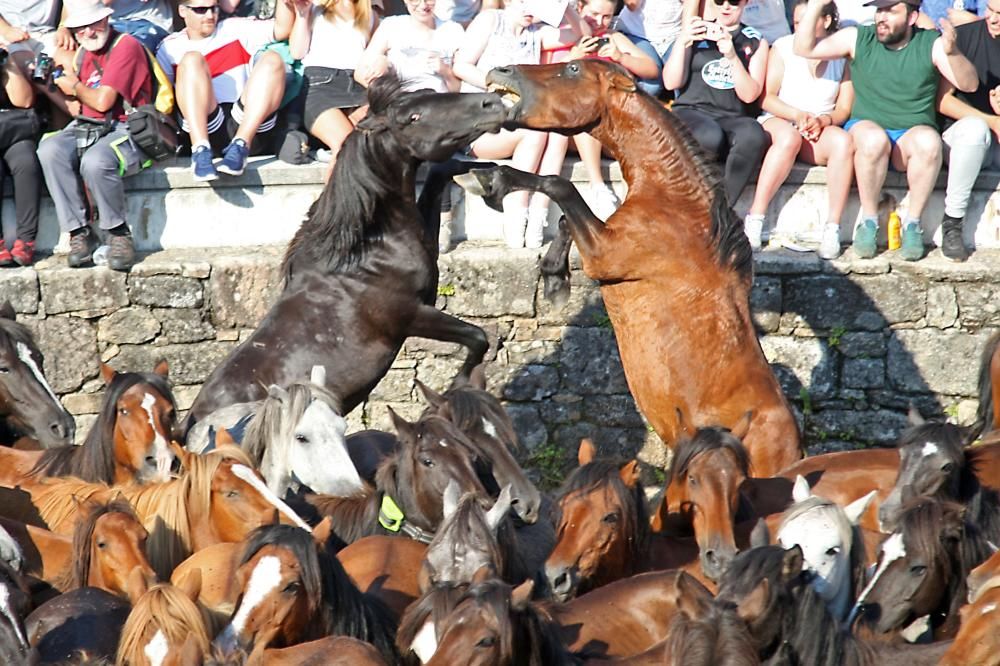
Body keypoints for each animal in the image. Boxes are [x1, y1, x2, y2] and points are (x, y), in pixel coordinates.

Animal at [184, 76, 508, 430]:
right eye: (413, 118)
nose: (493, 104)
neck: (365, 257)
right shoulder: (412, 315)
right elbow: (478, 336)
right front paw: (458, 386)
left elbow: (438, 175)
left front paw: (486, 173)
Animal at [458, 61, 800, 472]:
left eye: (573, 68)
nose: (500, 70)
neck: (676, 201)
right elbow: (564, 216)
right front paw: (555, 281)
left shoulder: (604, 254)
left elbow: (560, 186)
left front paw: (488, 180)